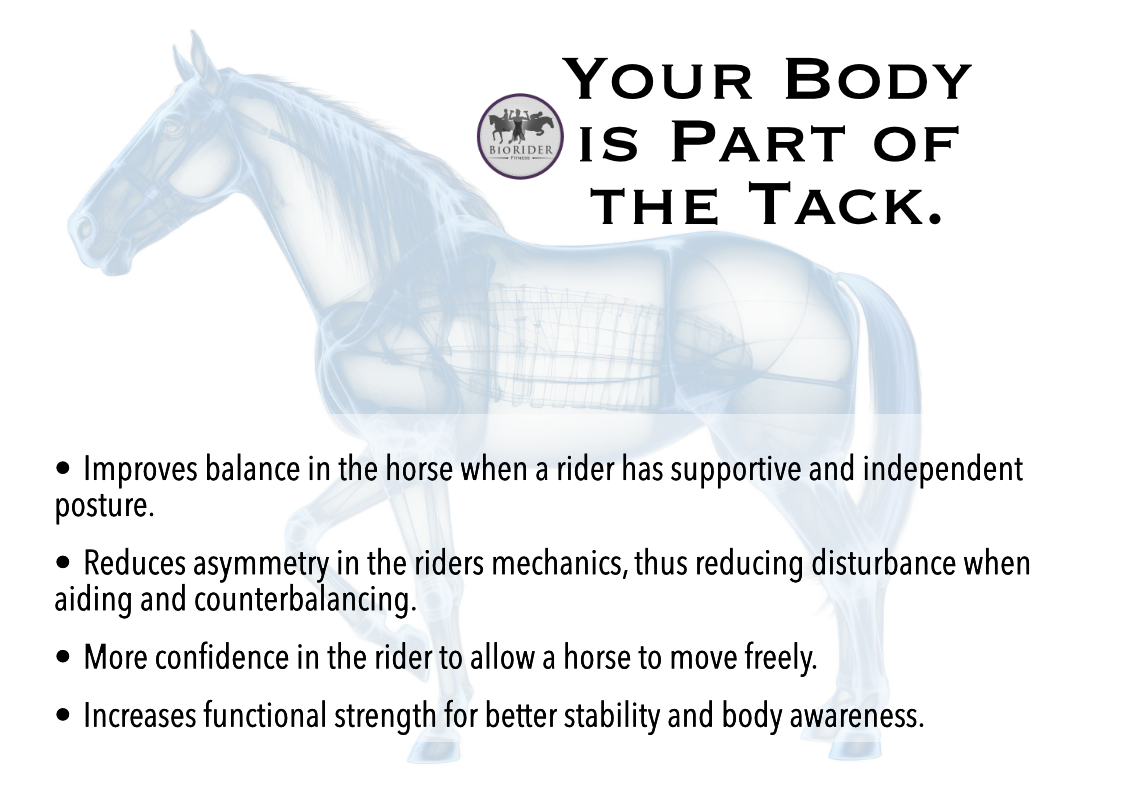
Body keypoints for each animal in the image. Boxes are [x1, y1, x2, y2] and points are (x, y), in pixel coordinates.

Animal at [65, 30, 922, 764]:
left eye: (177, 127)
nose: (86, 232)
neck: (392, 275)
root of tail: (826, 279)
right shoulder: (398, 458)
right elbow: (312, 536)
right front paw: (431, 679)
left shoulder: (411, 453)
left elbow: (426, 580)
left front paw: (437, 726)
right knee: (851, 566)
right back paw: (835, 720)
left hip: (781, 458)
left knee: (854, 567)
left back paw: (854, 734)